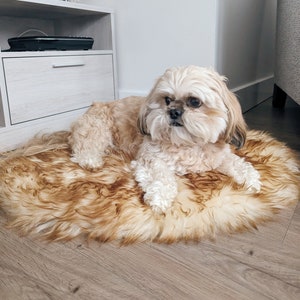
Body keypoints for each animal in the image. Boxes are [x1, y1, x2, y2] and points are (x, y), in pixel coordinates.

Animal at [68, 65, 260, 213]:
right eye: (167, 100)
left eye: (195, 102)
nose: (173, 111)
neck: (189, 143)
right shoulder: (151, 159)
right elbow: (162, 176)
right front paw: (160, 197)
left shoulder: (219, 157)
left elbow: (238, 164)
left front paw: (251, 179)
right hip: (97, 128)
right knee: (84, 147)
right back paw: (91, 160)